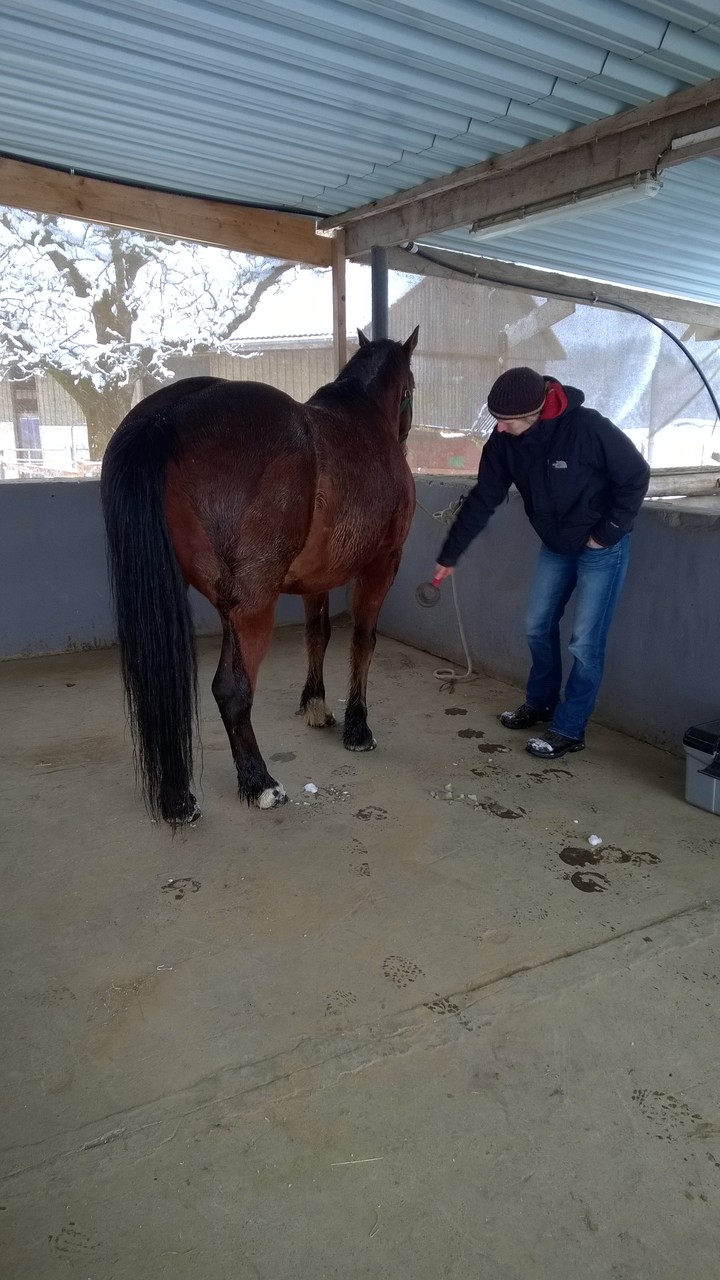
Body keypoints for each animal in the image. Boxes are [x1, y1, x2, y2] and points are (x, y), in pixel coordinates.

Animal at [98, 330, 417, 824]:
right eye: (411, 391)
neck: (364, 421)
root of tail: (168, 418)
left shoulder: (316, 580)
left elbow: (318, 634)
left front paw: (316, 705)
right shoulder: (383, 564)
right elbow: (363, 641)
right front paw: (358, 728)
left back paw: (178, 800)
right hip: (252, 609)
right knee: (231, 691)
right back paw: (259, 782)